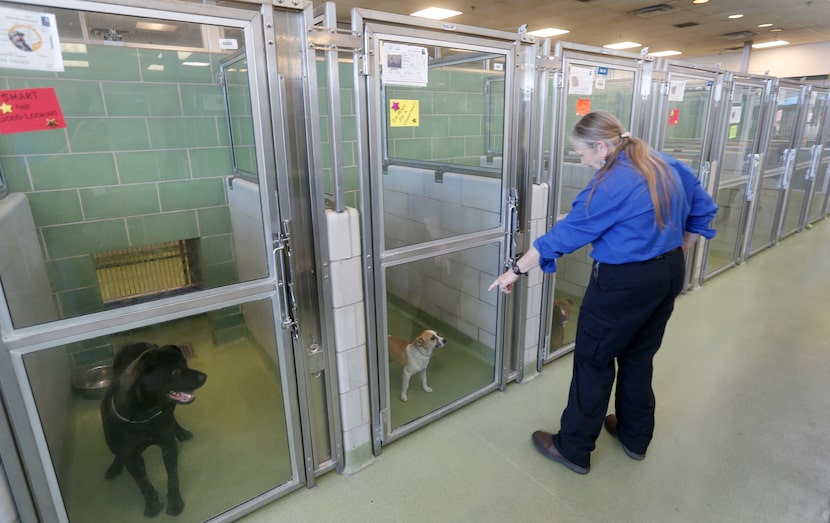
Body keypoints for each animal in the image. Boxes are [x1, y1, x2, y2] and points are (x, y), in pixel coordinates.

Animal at [100, 342, 208, 516]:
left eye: (185, 364)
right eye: (174, 371)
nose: (204, 376)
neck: (143, 416)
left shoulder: (167, 446)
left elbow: (172, 477)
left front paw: (174, 502)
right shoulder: (132, 458)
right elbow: (143, 482)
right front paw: (152, 504)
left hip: (172, 406)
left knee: (172, 417)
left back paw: (181, 432)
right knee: (118, 453)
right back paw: (115, 466)